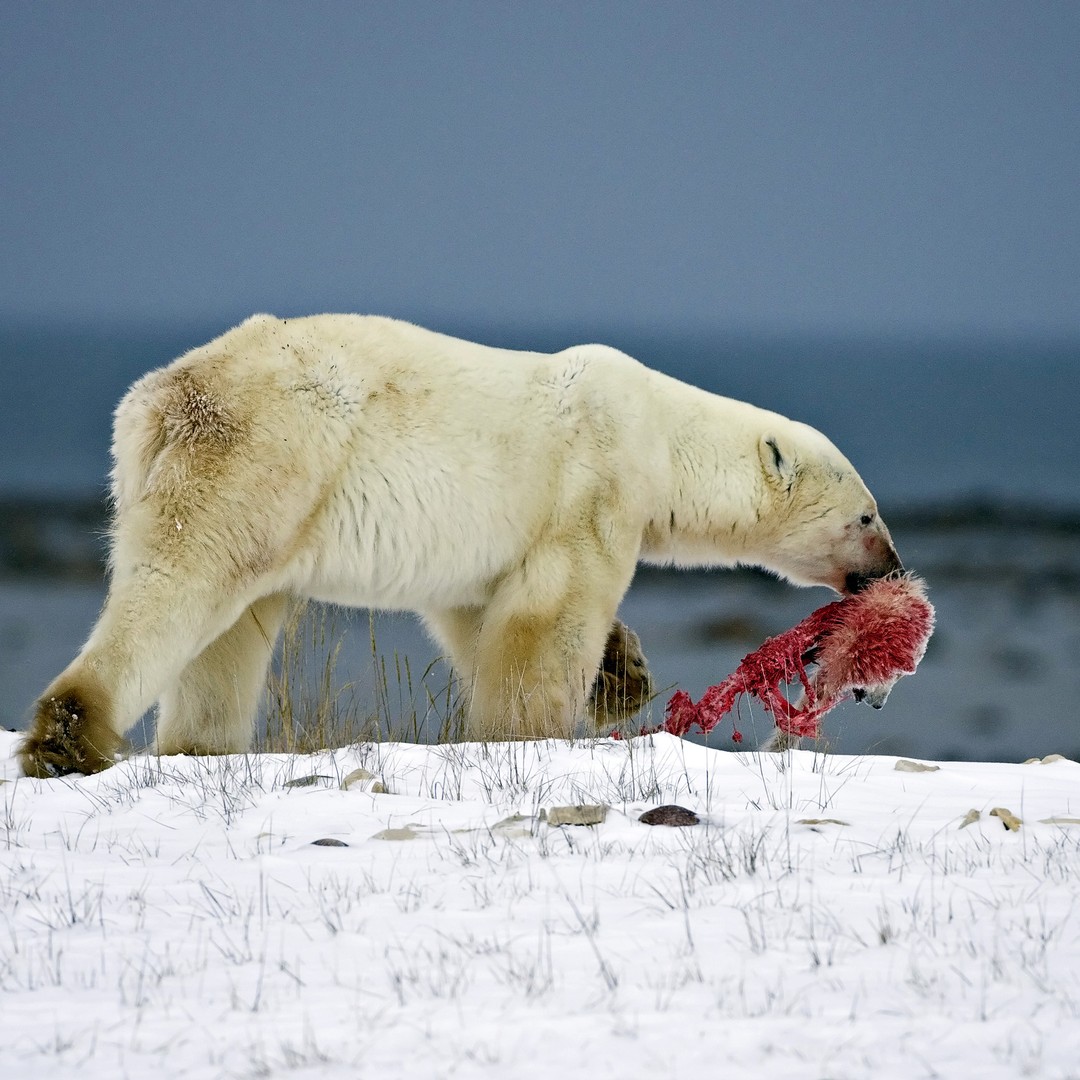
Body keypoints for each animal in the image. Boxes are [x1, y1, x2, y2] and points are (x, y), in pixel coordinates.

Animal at [19, 315, 902, 777]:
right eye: (866, 515)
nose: (891, 567)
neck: (662, 432)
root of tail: (158, 401)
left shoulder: (489, 542)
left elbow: (477, 614)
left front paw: (623, 674)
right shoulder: (594, 479)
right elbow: (552, 615)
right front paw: (535, 733)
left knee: (230, 632)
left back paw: (200, 747)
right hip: (266, 454)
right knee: (182, 586)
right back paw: (67, 738)